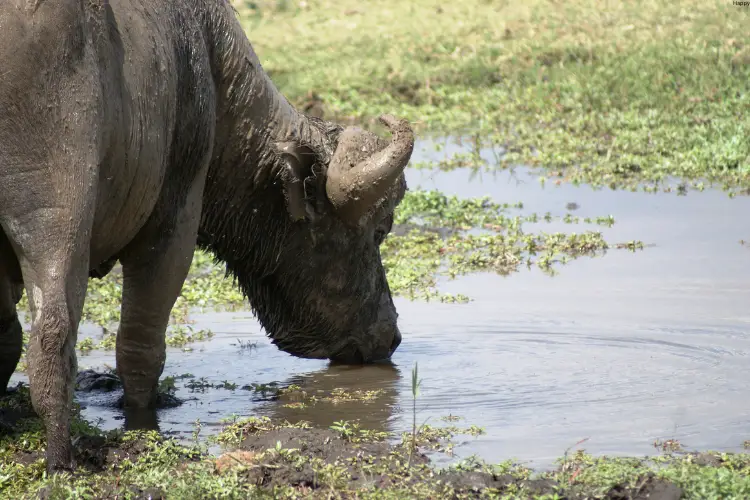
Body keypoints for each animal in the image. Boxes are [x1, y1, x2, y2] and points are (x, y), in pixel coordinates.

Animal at [0, 0, 418, 472]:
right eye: (380, 231)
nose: (390, 337)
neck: (212, 68)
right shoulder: (173, 224)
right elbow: (141, 347)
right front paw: (143, 422)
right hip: (60, 207)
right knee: (53, 333)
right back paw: (60, 459)